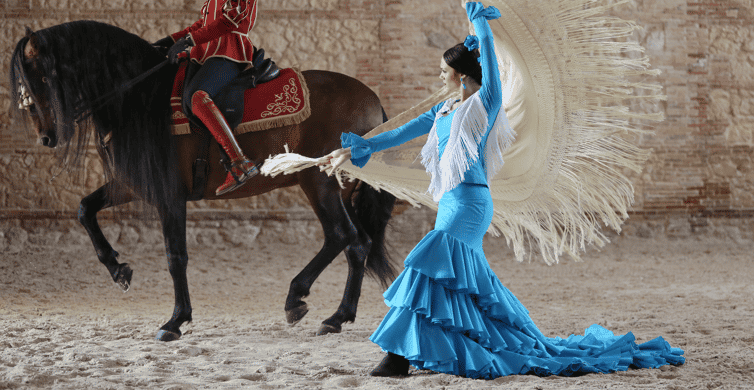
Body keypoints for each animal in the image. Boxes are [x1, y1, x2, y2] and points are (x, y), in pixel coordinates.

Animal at [11, 19, 396, 340]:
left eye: (41, 77)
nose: (45, 136)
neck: (137, 97)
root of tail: (372, 101)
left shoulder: (168, 196)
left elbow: (175, 256)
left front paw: (175, 320)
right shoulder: (131, 185)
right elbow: (84, 210)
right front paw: (119, 270)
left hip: (320, 184)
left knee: (342, 235)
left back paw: (299, 299)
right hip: (336, 190)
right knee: (357, 243)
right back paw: (336, 316)